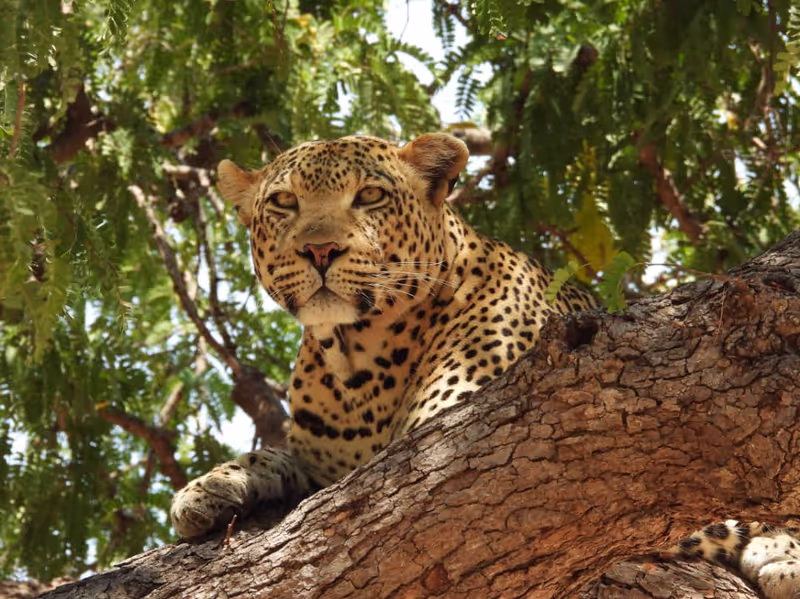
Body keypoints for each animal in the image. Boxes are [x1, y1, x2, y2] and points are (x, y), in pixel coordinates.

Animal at [169, 132, 798, 599]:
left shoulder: (446, 444)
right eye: (283, 203)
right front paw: (210, 486)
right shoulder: (329, 463)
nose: (319, 250)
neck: (358, 359)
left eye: (369, 196)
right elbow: (279, 460)